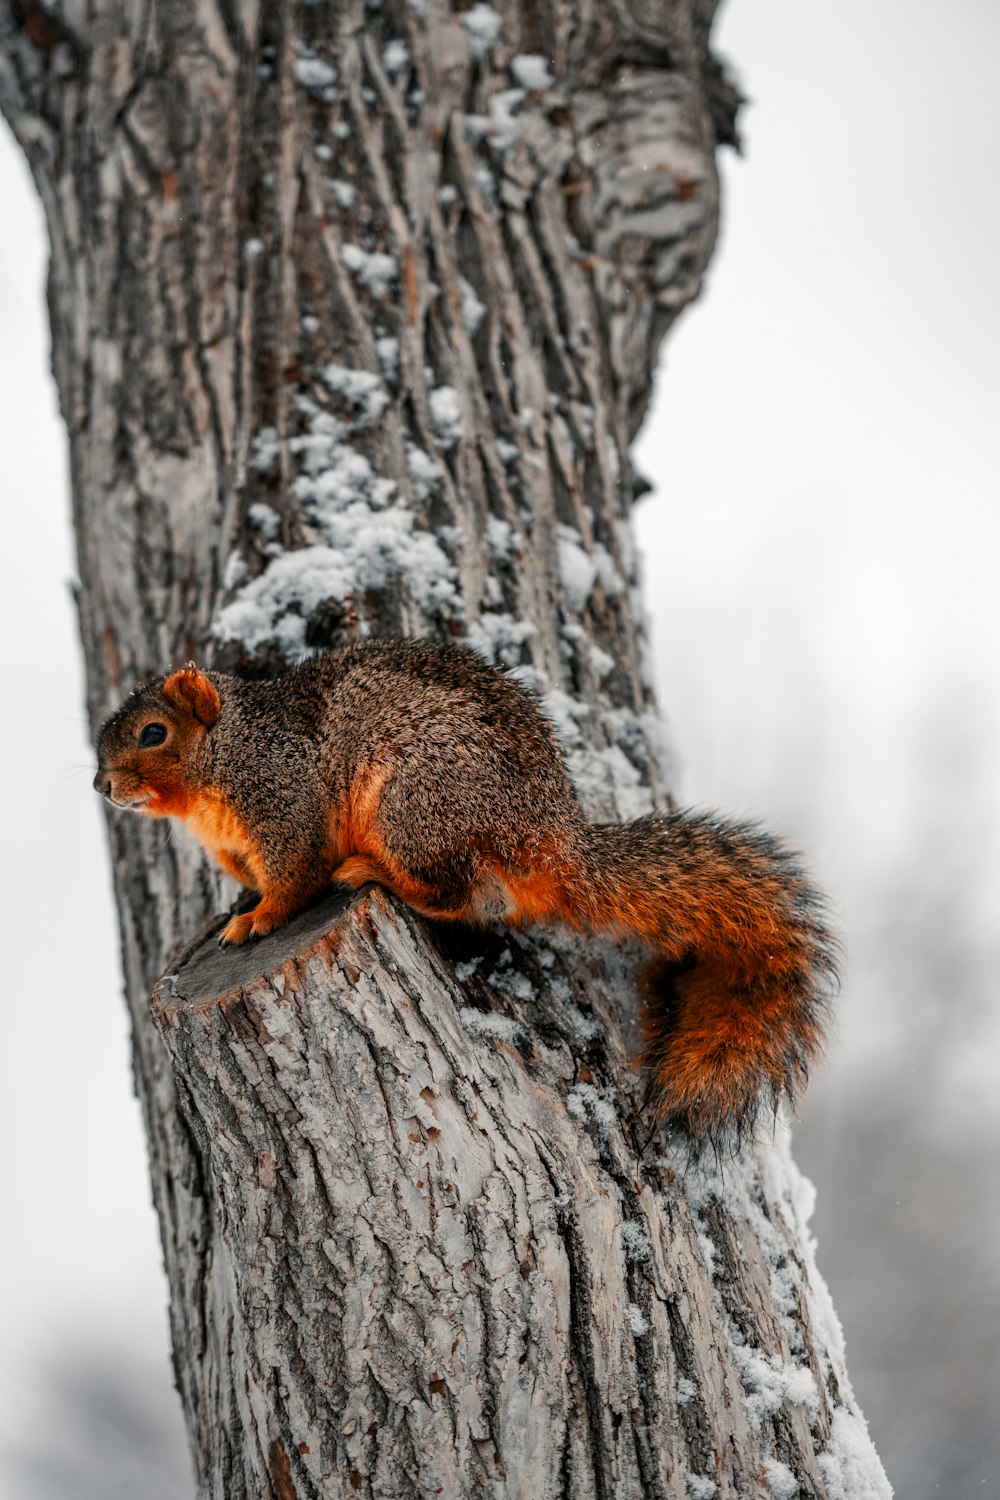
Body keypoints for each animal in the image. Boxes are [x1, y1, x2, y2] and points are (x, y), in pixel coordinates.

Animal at [93, 639, 839, 1140]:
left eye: (154, 733)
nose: (101, 785)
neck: (218, 775)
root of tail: (551, 837)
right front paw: (241, 903)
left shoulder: (284, 802)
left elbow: (294, 876)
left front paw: (259, 919)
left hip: (418, 804)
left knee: (465, 896)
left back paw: (373, 873)